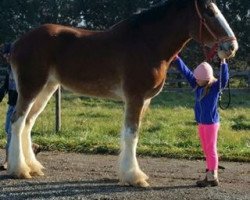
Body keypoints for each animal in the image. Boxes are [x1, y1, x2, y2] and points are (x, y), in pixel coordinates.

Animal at [8, 0, 238, 188]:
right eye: (209, 12)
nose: (231, 47)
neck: (147, 44)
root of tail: (17, 43)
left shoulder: (145, 100)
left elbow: (133, 135)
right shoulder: (135, 97)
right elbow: (131, 135)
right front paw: (134, 177)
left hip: (47, 88)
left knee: (28, 123)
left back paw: (33, 166)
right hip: (31, 87)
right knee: (17, 122)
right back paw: (20, 170)